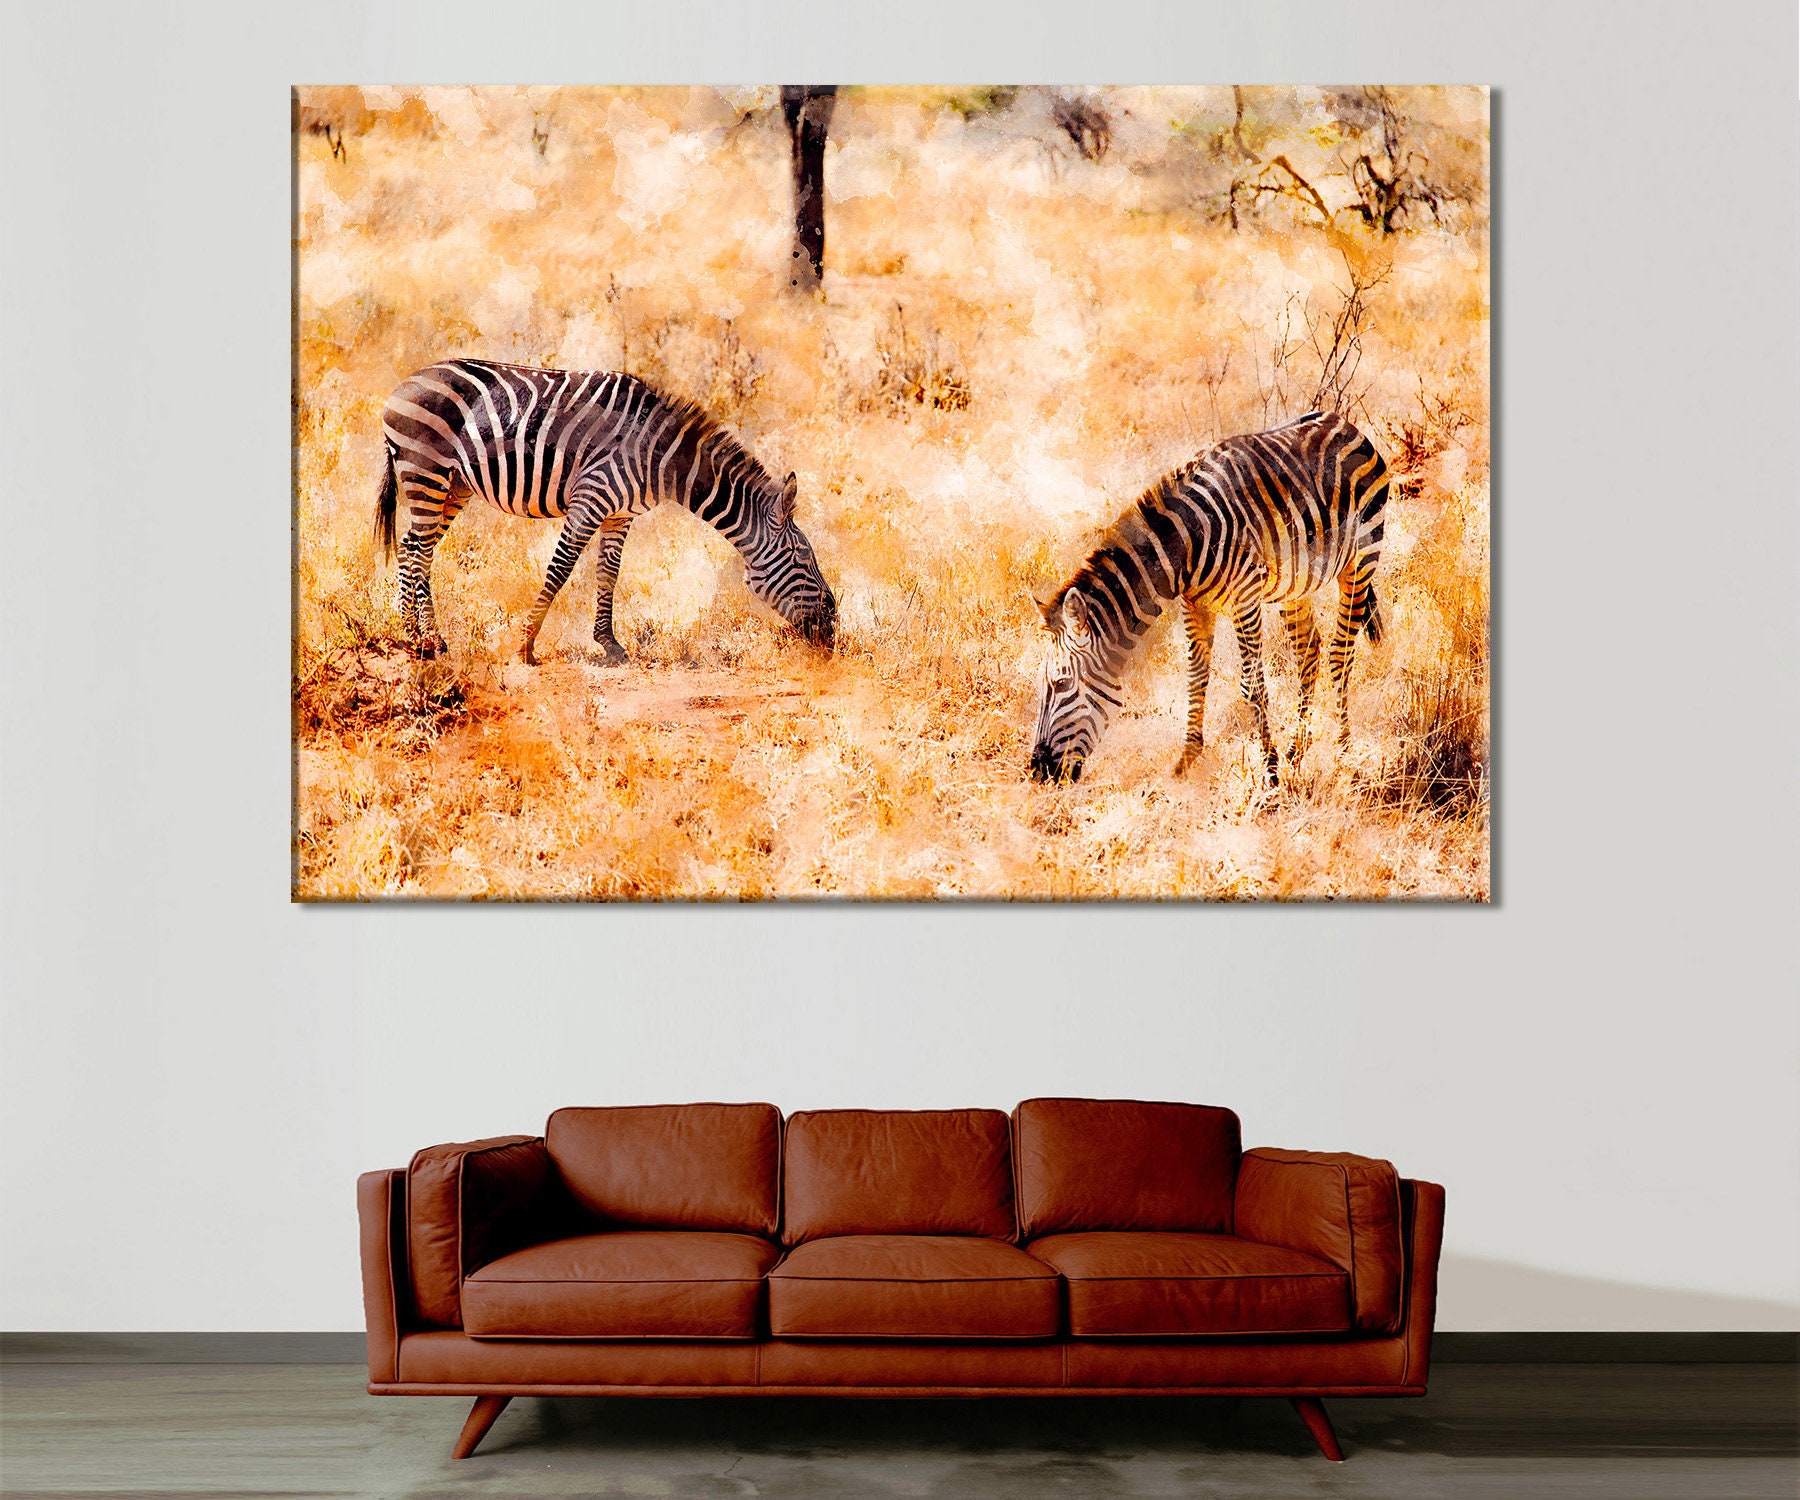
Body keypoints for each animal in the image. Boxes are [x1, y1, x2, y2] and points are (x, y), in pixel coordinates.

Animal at [374, 358, 836, 664]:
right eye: (803, 558)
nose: (832, 626)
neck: (660, 458)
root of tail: (406, 382)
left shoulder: (620, 513)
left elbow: (608, 573)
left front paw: (609, 643)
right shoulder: (590, 498)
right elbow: (560, 569)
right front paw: (525, 645)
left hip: (454, 485)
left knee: (414, 547)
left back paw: (421, 635)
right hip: (425, 471)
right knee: (416, 549)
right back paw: (424, 639)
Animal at [1027, 409, 1388, 784]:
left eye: (1061, 683)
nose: (1038, 770)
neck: (1186, 545)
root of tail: (1339, 420)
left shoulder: (1245, 597)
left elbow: (1252, 685)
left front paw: (1270, 773)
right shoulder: (1195, 604)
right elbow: (1196, 677)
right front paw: (1184, 763)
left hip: (1361, 559)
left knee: (1340, 653)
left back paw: (1344, 753)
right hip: (1295, 584)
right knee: (1308, 653)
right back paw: (1298, 749)